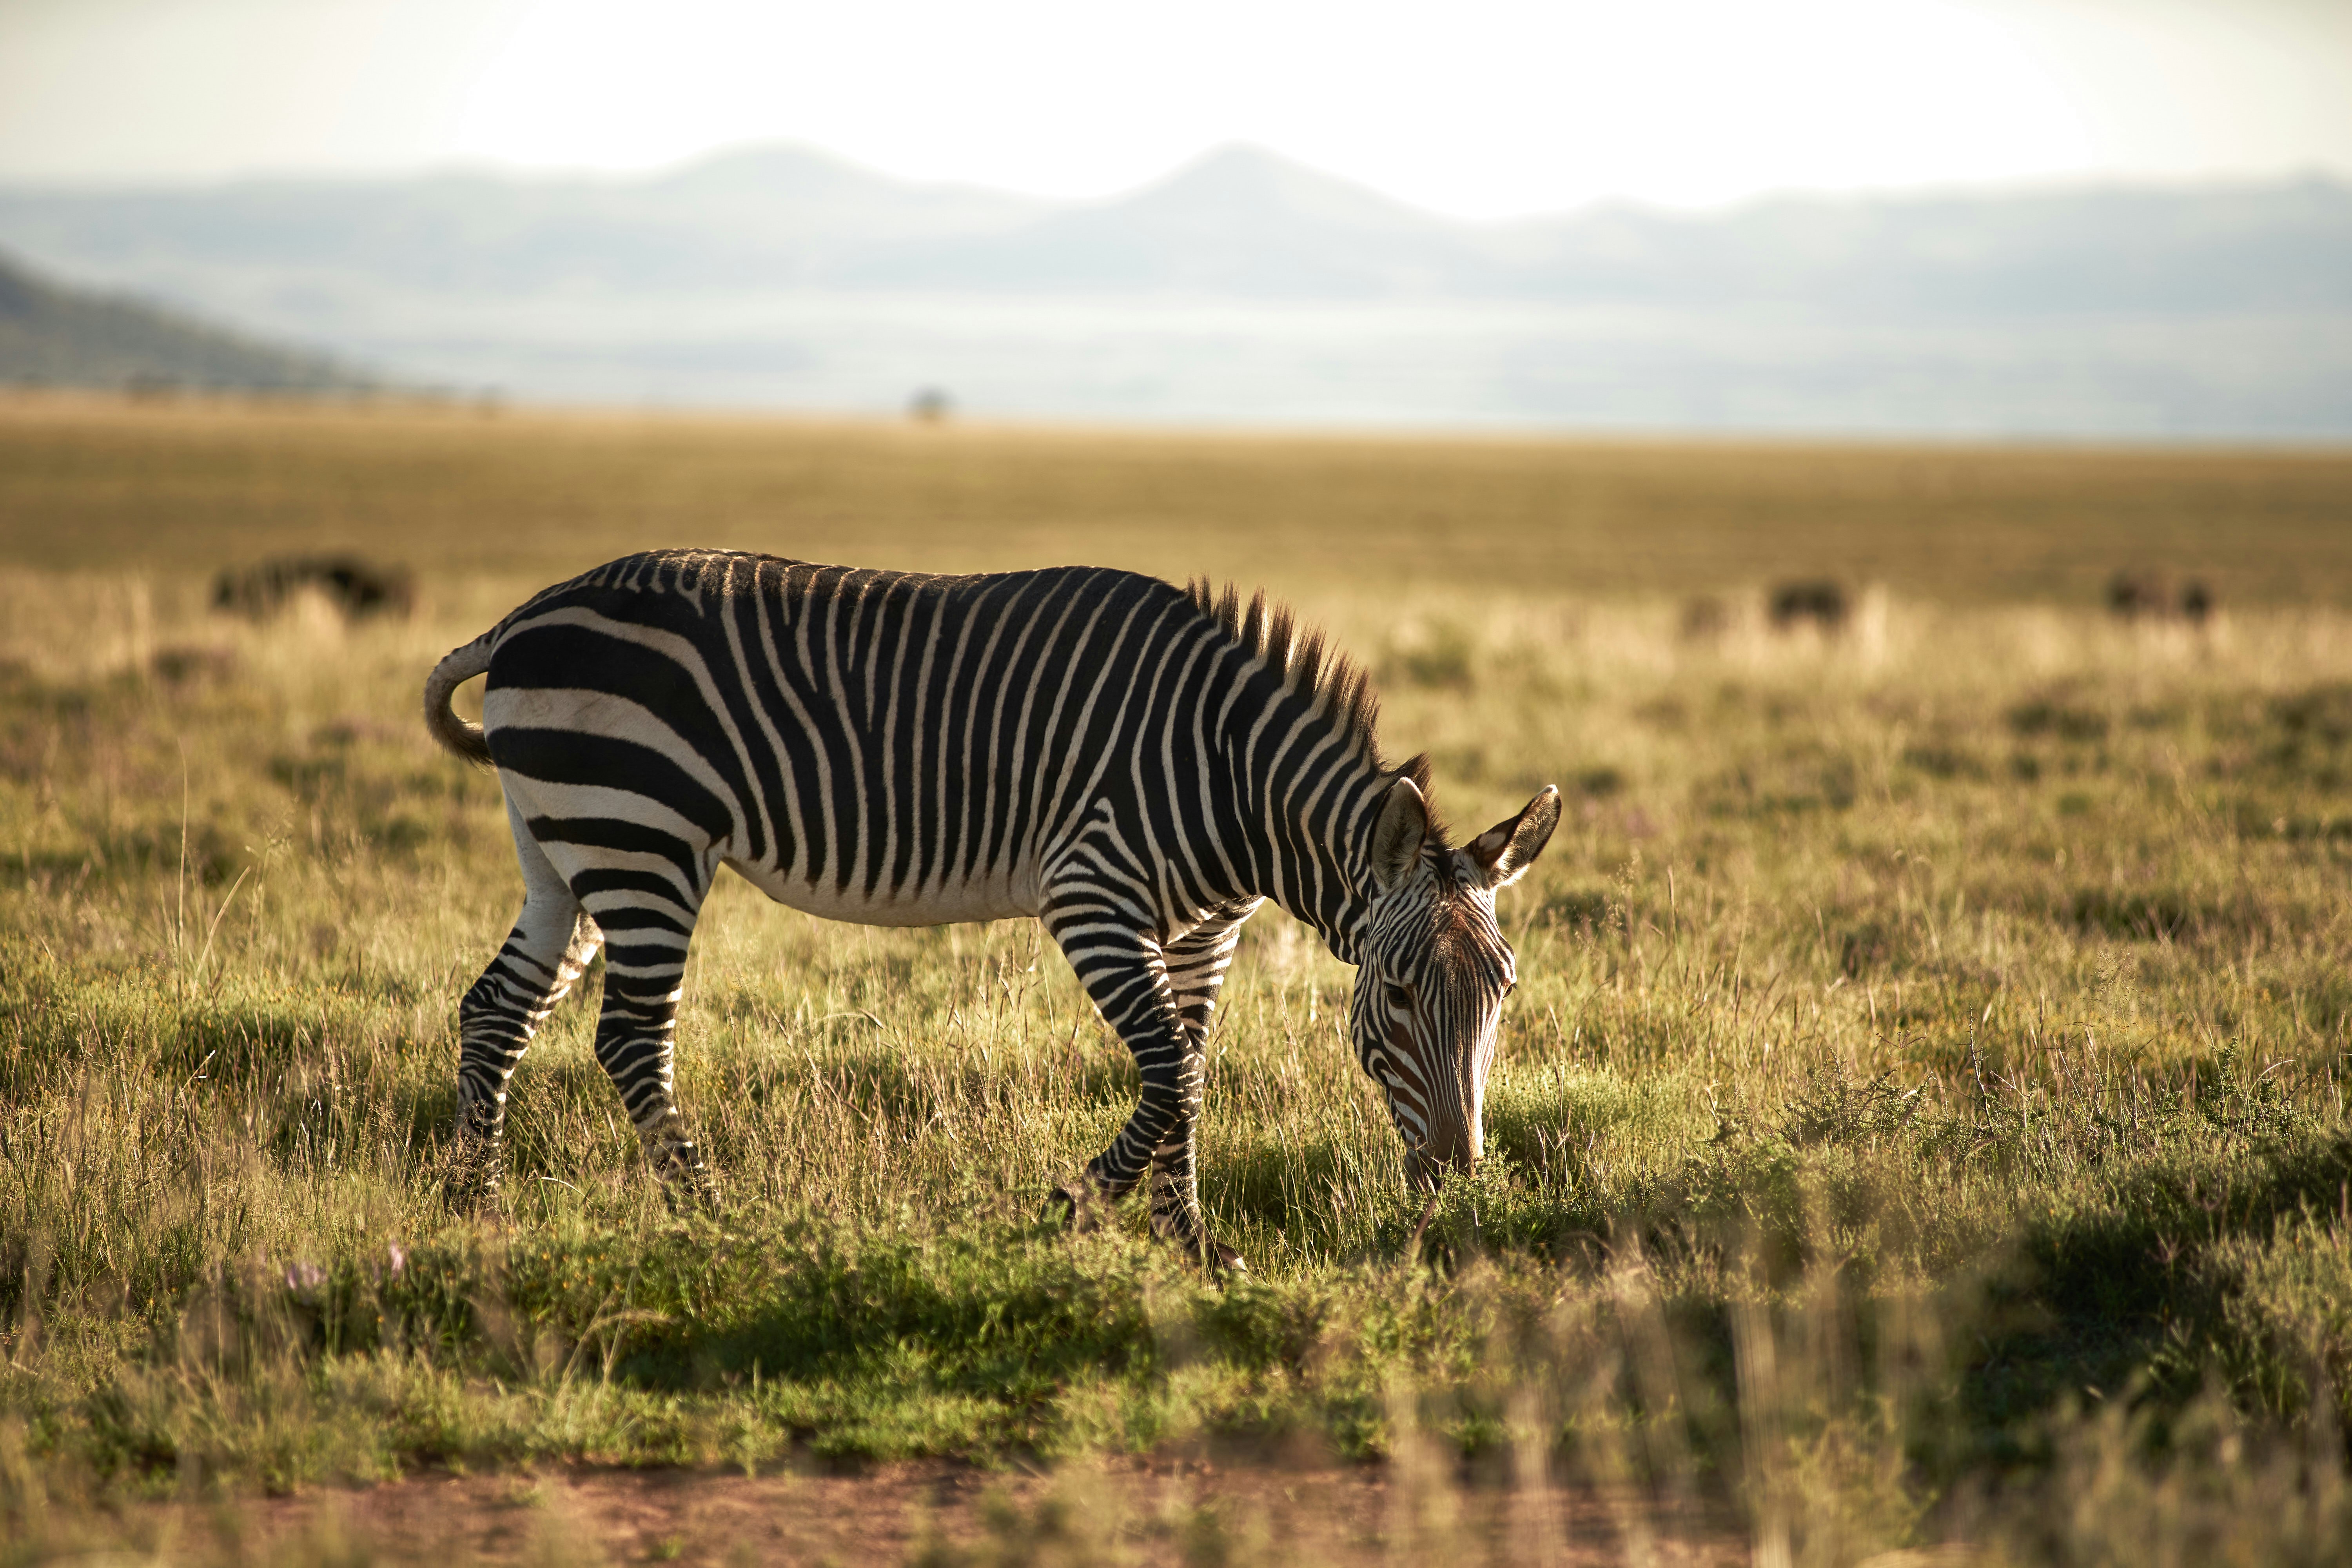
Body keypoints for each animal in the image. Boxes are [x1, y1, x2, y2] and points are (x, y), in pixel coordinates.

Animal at [423, 545, 1562, 1269]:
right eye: (1401, 992)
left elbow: (1195, 1073)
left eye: (1503, 993)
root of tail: (523, 618)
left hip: (565, 847)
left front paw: (1190, 1241)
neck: (1236, 784)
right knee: (629, 1037)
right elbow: (1170, 1072)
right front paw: (1073, 1209)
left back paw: (477, 1207)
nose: (1457, 1177)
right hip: (640, 834)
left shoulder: (1205, 930)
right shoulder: (1092, 895)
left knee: (497, 1009)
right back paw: (710, 1218)